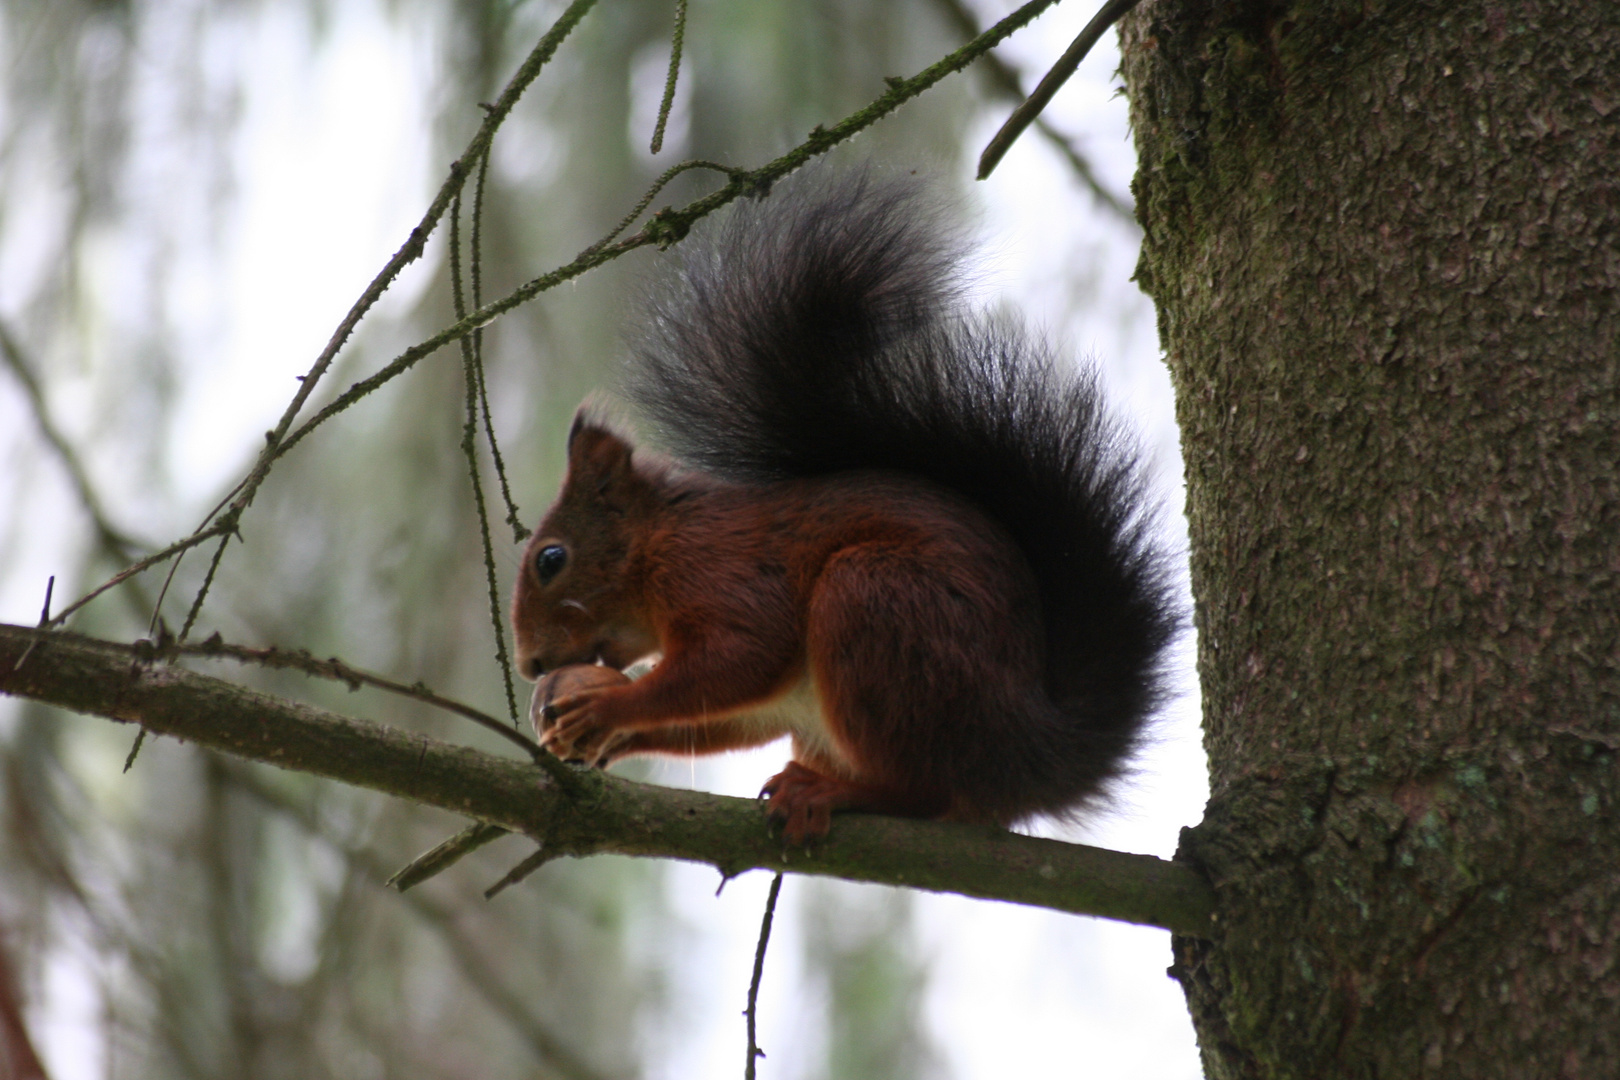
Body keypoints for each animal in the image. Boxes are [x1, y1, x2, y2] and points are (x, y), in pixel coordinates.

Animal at [508, 170, 1179, 841]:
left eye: (551, 559)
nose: (531, 665)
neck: (657, 541)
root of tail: (1031, 757)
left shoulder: (718, 568)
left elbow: (744, 654)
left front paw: (609, 705)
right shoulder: (771, 700)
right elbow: (728, 716)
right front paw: (606, 737)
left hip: (877, 603)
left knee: (928, 793)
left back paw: (835, 790)